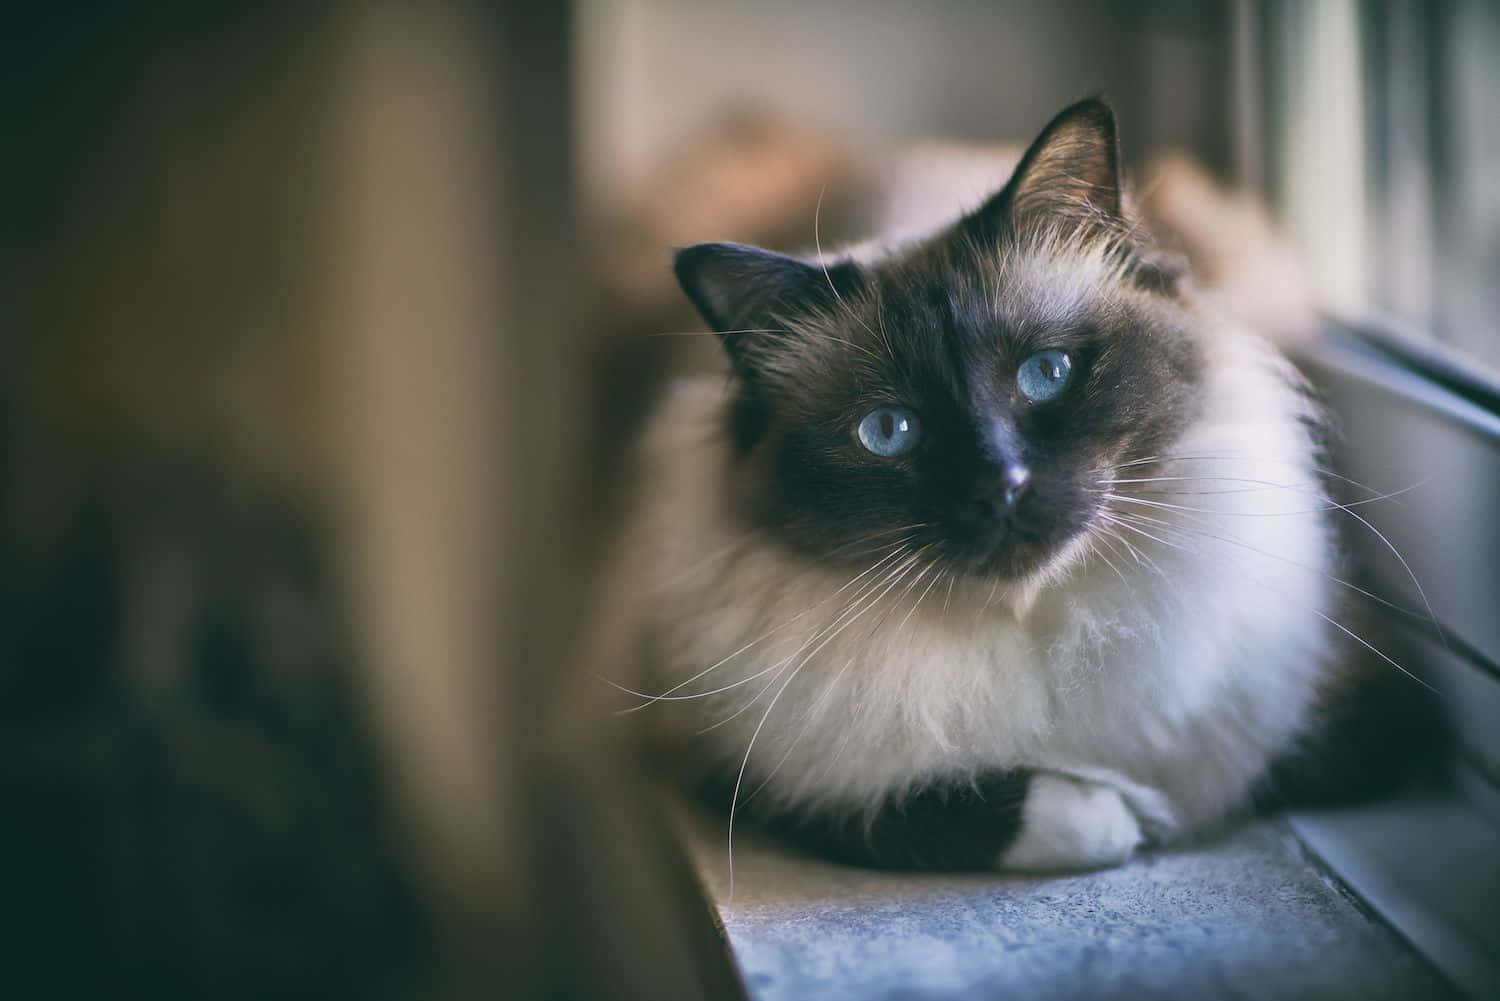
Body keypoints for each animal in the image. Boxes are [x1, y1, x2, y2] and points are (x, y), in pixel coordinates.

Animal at [606, 97, 1428, 870]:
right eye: (890, 430)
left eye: (1046, 374)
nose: (1001, 484)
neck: (1041, 624)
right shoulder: (758, 781)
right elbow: (980, 810)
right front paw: (1124, 816)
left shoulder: (1353, 711)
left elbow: (1247, 773)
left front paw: (1155, 808)